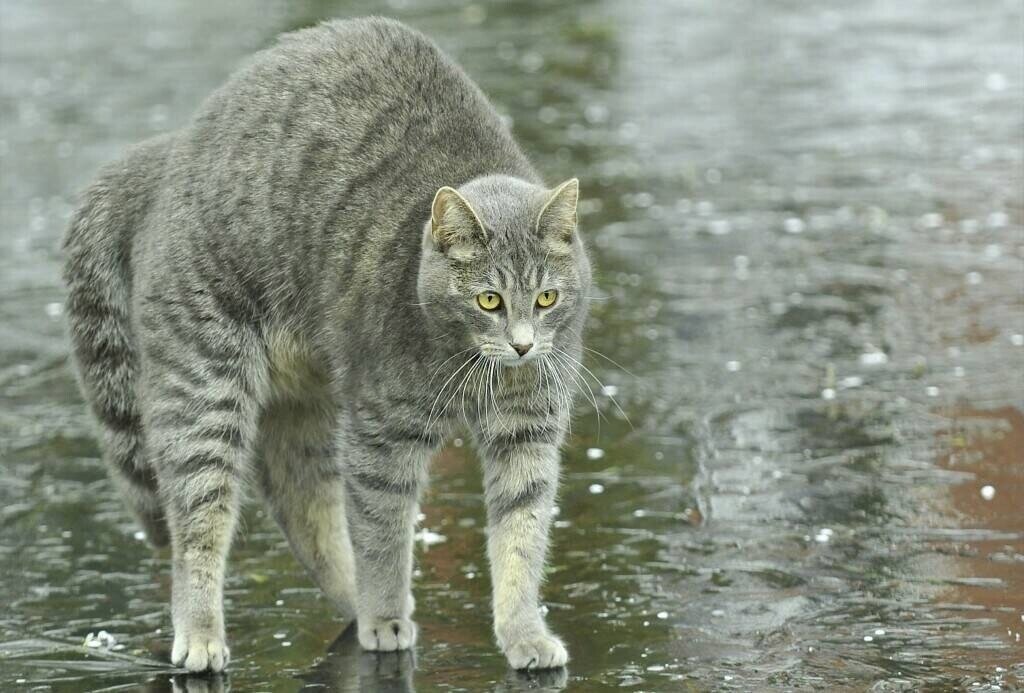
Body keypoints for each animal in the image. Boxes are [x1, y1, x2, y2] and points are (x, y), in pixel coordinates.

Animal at [61, 16, 593, 671]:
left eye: (546, 298)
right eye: (488, 300)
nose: (522, 347)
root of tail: (171, 150)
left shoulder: (528, 432)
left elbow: (522, 535)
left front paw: (523, 632)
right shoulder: (383, 432)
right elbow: (384, 532)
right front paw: (385, 614)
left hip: (304, 399)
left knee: (300, 502)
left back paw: (350, 598)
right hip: (205, 391)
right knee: (197, 525)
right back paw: (208, 632)